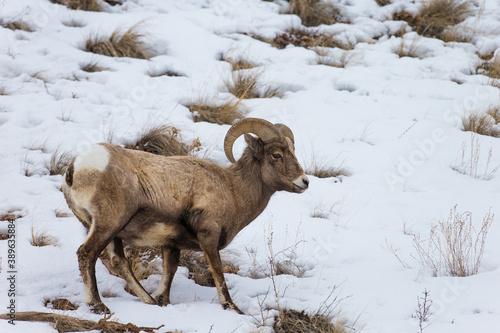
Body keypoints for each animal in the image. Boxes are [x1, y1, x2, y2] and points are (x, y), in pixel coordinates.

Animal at [62, 117, 308, 314]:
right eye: (276, 155)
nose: (304, 182)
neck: (232, 189)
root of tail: (76, 167)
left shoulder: (171, 245)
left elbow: (168, 275)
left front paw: (161, 301)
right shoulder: (209, 237)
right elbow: (218, 273)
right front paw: (231, 307)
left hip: (110, 231)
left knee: (119, 262)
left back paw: (149, 301)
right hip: (108, 224)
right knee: (87, 254)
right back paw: (97, 305)